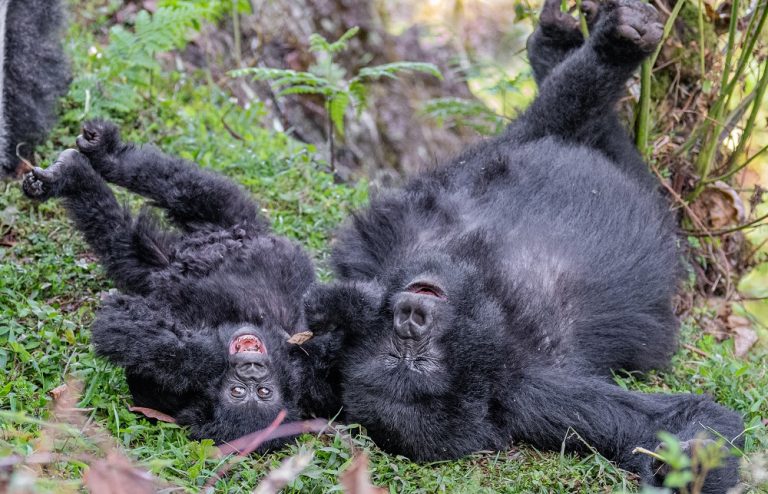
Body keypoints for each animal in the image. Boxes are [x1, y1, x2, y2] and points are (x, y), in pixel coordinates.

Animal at [23, 121, 340, 446]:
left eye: (258, 392)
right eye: (246, 390)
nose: (252, 372)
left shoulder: (163, 393)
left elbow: (126, 329)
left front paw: (207, 356)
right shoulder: (316, 361)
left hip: (172, 257)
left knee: (124, 239)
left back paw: (76, 175)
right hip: (238, 225)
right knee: (189, 189)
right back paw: (105, 152)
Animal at [306, 0, 744, 490]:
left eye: (415, 353)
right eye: (399, 356)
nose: (410, 321)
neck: (490, 309)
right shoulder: (541, 394)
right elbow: (678, 417)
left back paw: (558, 47)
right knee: (562, 122)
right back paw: (602, 52)